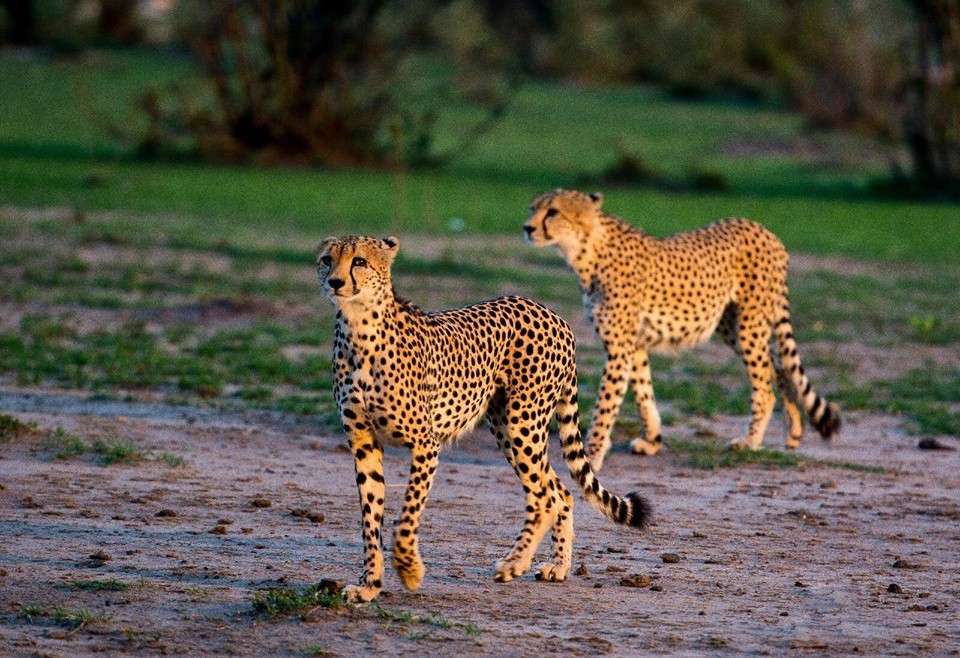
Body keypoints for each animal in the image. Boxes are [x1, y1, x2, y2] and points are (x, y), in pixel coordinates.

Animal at [318, 234, 648, 600]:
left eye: (359, 261)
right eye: (327, 260)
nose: (335, 282)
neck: (358, 328)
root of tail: (553, 314)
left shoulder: (426, 444)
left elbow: (406, 516)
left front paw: (410, 571)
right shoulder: (364, 443)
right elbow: (370, 517)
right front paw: (369, 586)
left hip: (522, 424)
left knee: (544, 497)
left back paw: (513, 565)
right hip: (506, 427)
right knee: (559, 491)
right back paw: (557, 567)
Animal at [524, 187, 840, 468]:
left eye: (553, 211)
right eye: (532, 208)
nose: (527, 228)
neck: (586, 249)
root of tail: (766, 231)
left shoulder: (619, 347)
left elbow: (606, 404)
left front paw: (592, 455)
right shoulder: (635, 345)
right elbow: (644, 394)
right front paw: (652, 440)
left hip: (749, 324)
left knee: (764, 384)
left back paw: (750, 441)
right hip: (731, 326)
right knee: (780, 368)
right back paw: (794, 431)